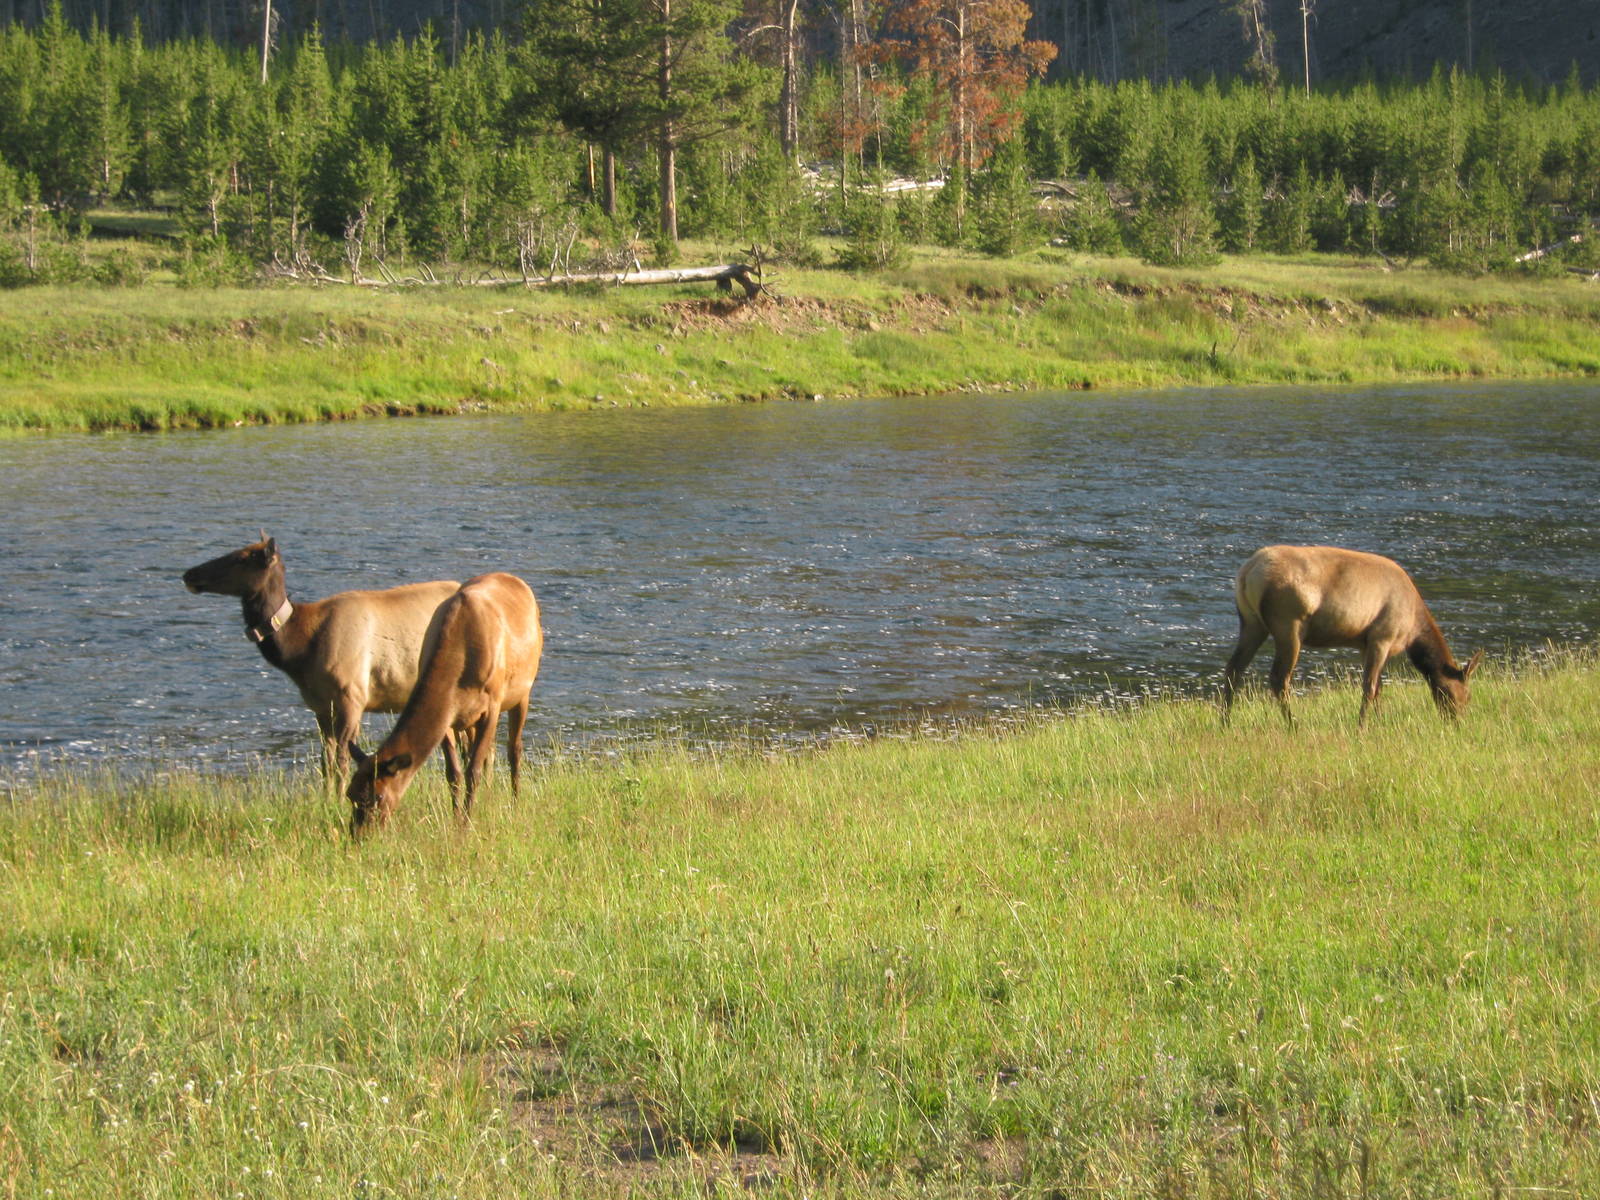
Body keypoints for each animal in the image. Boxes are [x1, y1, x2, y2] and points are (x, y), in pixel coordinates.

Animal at [182, 536, 461, 777]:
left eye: (241, 558)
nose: (189, 574)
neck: (301, 652)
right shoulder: (320, 708)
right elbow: (326, 765)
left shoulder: (352, 699)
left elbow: (342, 763)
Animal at [345, 572, 543, 835]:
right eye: (350, 794)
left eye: (377, 796)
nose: (358, 835)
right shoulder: (449, 718)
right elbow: (454, 773)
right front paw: (456, 818)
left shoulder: (492, 705)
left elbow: (473, 771)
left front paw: (466, 825)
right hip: (470, 720)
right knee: (485, 752)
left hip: (522, 692)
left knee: (514, 749)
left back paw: (515, 802)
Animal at [1222, 544, 1483, 726]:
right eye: (1466, 694)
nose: (1458, 721)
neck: (1412, 631)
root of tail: (1247, 573)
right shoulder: (1382, 636)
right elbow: (1369, 687)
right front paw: (1362, 727)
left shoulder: (1364, 644)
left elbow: (1379, 687)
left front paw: (1380, 721)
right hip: (1288, 623)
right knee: (1279, 678)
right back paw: (1293, 725)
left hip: (1252, 622)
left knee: (1234, 667)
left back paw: (1225, 722)